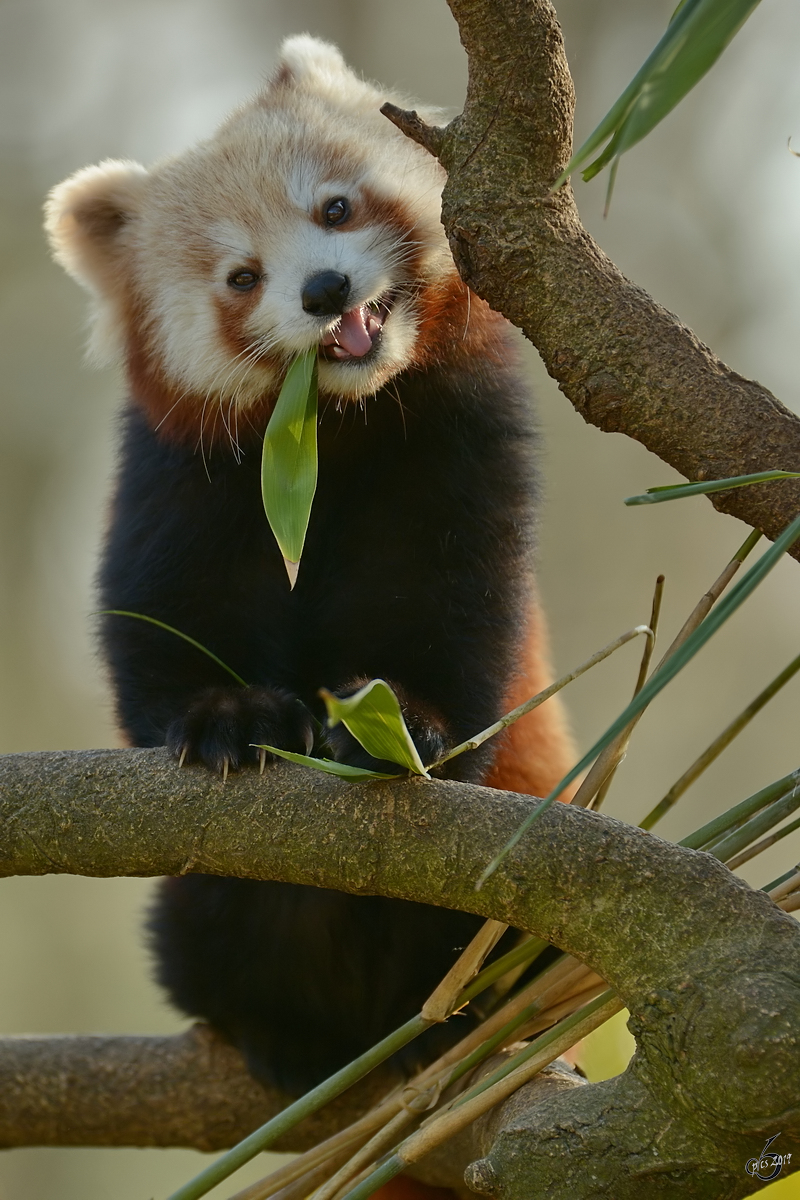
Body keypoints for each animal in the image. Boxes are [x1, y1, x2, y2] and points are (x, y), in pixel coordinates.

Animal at [45, 37, 575, 1099]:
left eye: (335, 208)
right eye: (242, 277)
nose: (325, 290)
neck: (337, 427)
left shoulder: (454, 443)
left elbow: (454, 610)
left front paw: (398, 722)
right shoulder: (184, 480)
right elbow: (166, 620)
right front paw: (231, 717)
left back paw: (454, 1021)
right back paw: (279, 1027)